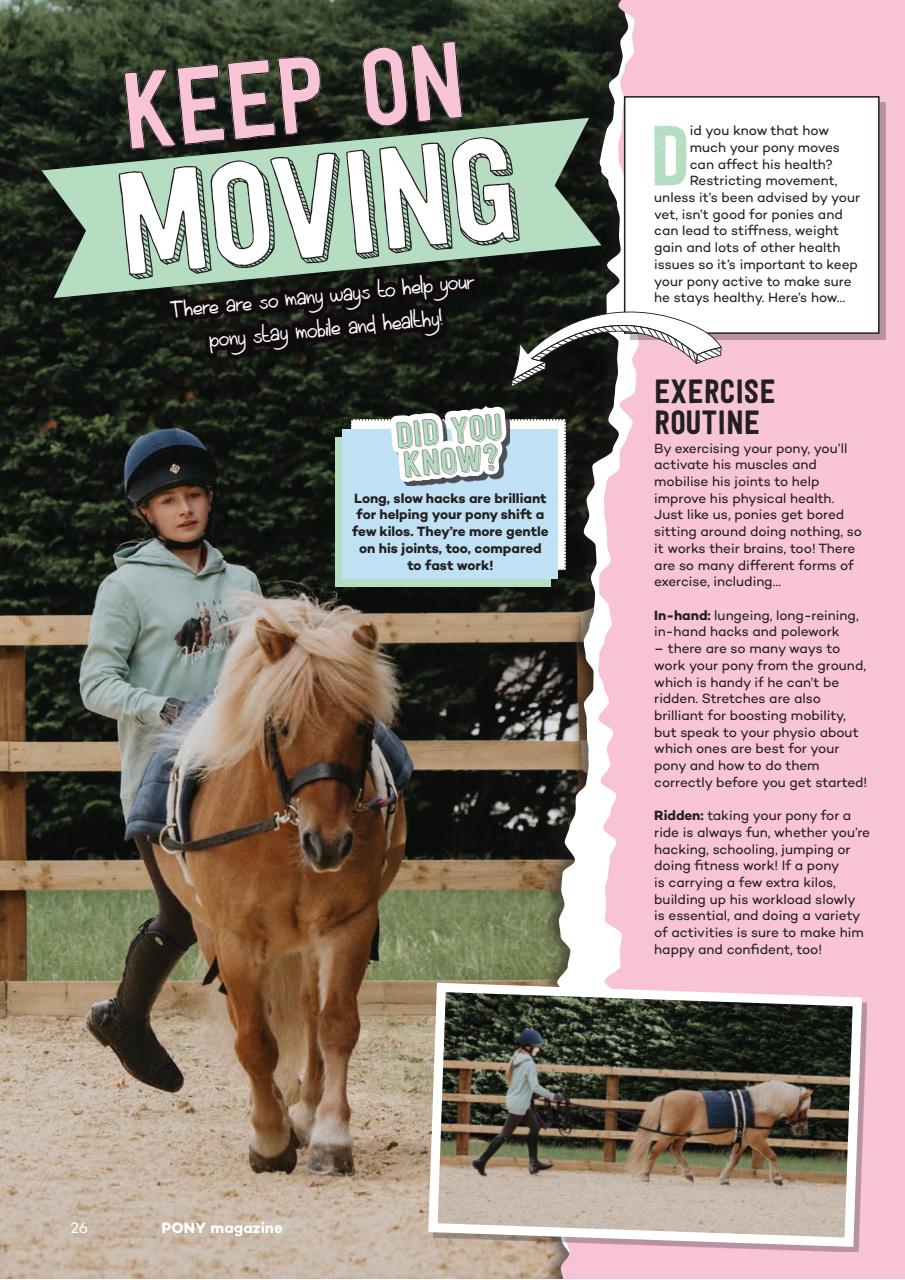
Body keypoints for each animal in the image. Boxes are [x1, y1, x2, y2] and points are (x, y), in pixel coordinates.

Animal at [152, 595, 406, 1177]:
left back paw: (306, 1113)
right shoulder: (237, 939)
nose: (328, 844)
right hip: (213, 934)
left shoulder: (347, 926)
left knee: (310, 1014)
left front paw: (331, 1137)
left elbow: (336, 1025)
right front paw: (269, 1139)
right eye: (283, 725)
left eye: (361, 725)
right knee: (250, 1020)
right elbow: (255, 1040)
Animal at [626, 1081, 812, 1186]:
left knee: (675, 1150)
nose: (803, 1129)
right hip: (669, 1134)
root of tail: (665, 1097)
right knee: (655, 1151)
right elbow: (772, 1155)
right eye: (804, 1108)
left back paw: (689, 1174)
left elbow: (733, 1160)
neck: (758, 1107)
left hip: (682, 1135)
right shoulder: (757, 1140)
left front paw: (724, 1179)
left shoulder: (743, 1142)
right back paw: (645, 1176)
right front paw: (778, 1179)